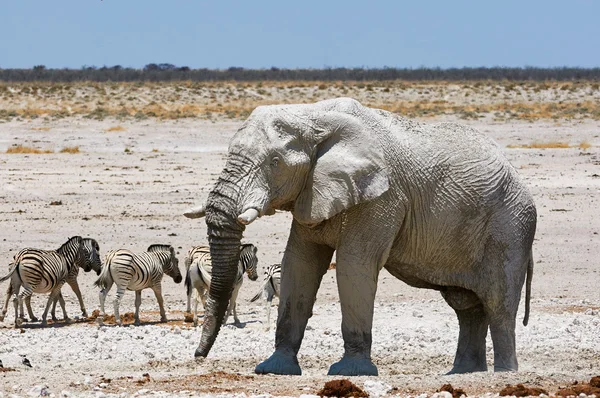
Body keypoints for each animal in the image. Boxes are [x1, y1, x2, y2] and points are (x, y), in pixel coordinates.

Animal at [185, 96, 536, 376]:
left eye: (274, 162)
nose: (199, 356)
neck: (313, 116)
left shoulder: (382, 197)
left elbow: (355, 264)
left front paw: (350, 372)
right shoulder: (313, 190)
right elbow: (300, 262)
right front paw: (274, 369)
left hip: (510, 227)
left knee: (498, 305)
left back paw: (504, 373)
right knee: (467, 307)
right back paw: (463, 373)